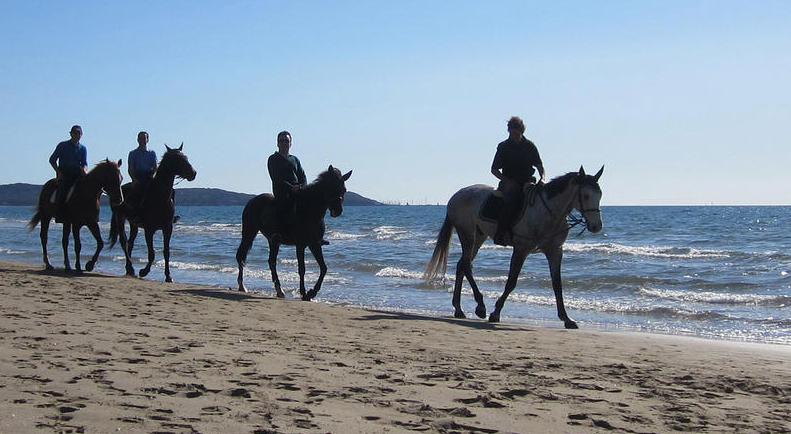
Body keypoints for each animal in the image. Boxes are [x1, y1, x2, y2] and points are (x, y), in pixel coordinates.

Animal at [108, 144, 196, 284]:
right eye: (178, 159)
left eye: (186, 157)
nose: (193, 173)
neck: (159, 196)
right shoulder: (149, 229)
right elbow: (151, 253)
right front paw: (144, 271)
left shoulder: (167, 228)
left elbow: (166, 252)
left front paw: (168, 276)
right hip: (119, 218)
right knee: (123, 242)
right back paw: (130, 267)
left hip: (133, 224)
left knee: (130, 243)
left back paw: (129, 269)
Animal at [235, 164, 352, 300]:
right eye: (330, 187)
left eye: (344, 189)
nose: (337, 211)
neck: (310, 211)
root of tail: (252, 201)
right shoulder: (300, 245)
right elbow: (302, 269)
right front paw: (304, 293)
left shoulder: (315, 244)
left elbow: (323, 268)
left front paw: (312, 292)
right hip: (249, 233)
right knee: (241, 256)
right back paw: (242, 286)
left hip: (273, 241)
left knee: (271, 262)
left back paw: (279, 291)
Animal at [426, 166, 608, 328]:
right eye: (585, 195)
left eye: (600, 195)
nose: (596, 226)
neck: (549, 213)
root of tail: (456, 196)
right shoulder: (521, 249)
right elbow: (511, 282)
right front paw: (495, 313)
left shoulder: (555, 251)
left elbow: (557, 285)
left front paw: (566, 318)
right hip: (467, 235)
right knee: (466, 265)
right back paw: (480, 306)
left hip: (479, 236)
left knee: (462, 265)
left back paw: (459, 309)